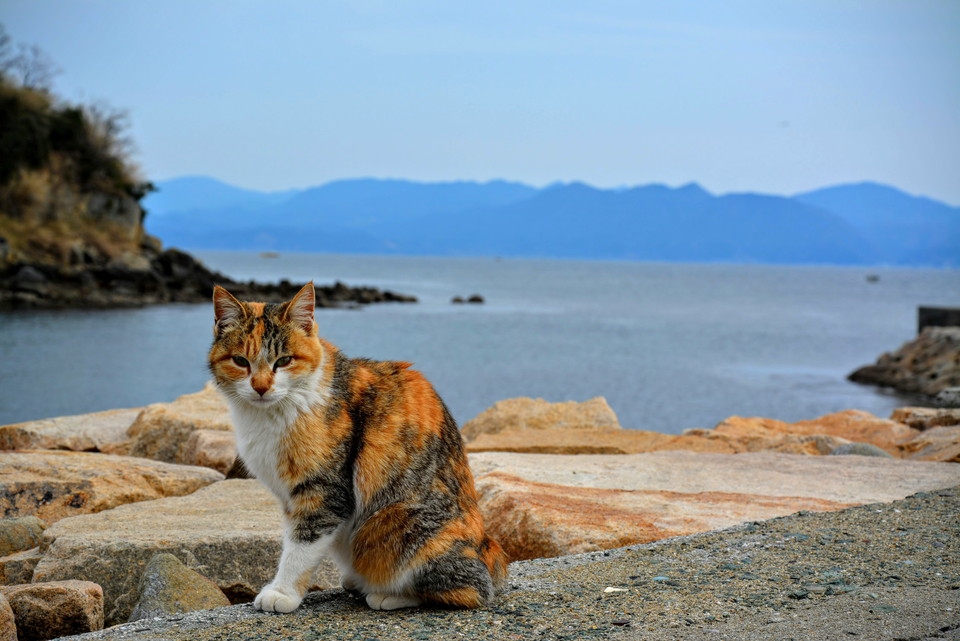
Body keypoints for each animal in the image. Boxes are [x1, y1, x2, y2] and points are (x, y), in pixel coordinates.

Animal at [208, 284, 510, 608]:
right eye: (241, 361)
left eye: (284, 360)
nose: (261, 387)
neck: (270, 416)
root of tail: (487, 550)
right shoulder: (291, 498)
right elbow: (292, 536)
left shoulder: (324, 491)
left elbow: (301, 546)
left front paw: (282, 593)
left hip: (399, 523)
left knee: (471, 589)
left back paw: (387, 595)